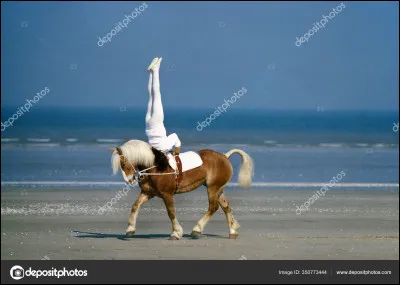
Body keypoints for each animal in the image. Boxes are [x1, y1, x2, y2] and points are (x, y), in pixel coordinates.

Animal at [109, 139, 253, 239]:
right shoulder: (148, 193)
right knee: (225, 206)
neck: (157, 166)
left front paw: (176, 233)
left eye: (123, 163)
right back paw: (232, 230)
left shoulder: (167, 194)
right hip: (218, 189)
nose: (129, 180)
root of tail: (224, 156)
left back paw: (197, 229)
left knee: (213, 207)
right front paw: (130, 229)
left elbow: (171, 212)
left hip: (213, 188)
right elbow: (135, 206)